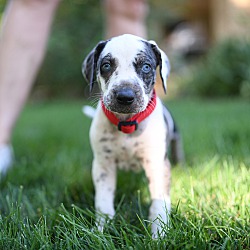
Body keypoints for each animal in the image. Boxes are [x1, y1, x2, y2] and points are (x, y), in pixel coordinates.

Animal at [83, 33, 183, 238]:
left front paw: (159, 234)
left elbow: (159, 202)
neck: (127, 124)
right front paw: (101, 230)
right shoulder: (103, 165)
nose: (125, 96)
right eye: (106, 65)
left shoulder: (158, 165)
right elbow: (103, 200)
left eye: (146, 67)